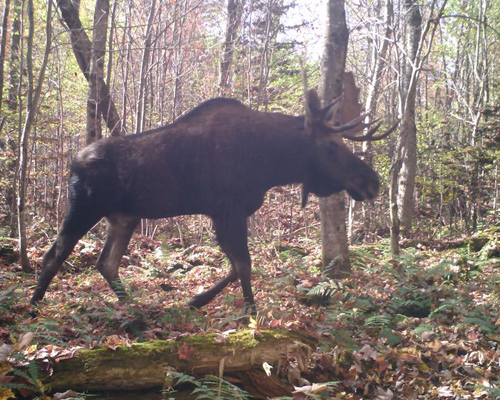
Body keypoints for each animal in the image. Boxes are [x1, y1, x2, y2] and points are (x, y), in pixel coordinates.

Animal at [31, 85, 396, 312]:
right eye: (331, 146)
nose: (372, 182)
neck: (270, 163)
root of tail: (73, 162)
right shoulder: (227, 211)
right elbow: (244, 265)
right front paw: (250, 315)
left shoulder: (226, 214)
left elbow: (236, 266)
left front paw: (195, 301)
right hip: (83, 207)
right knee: (53, 255)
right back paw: (33, 309)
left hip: (124, 217)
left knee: (106, 263)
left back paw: (133, 309)